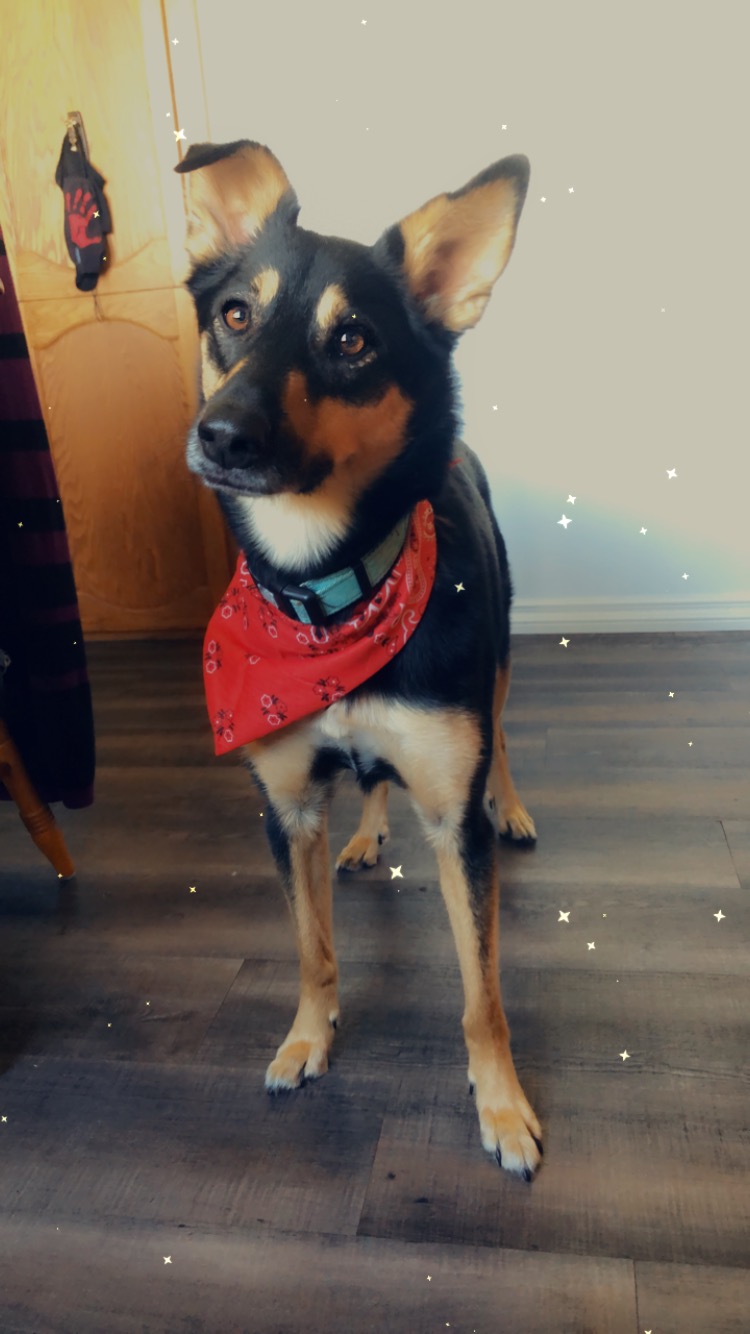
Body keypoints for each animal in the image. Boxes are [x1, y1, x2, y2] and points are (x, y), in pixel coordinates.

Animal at [175, 140, 542, 1179]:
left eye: (353, 341)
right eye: (235, 314)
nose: (221, 435)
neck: (325, 597)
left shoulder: (453, 821)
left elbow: (482, 993)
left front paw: (503, 1108)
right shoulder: (288, 808)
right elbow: (312, 949)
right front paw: (307, 1040)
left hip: (499, 662)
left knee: (502, 736)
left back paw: (513, 803)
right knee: (374, 780)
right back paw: (371, 833)